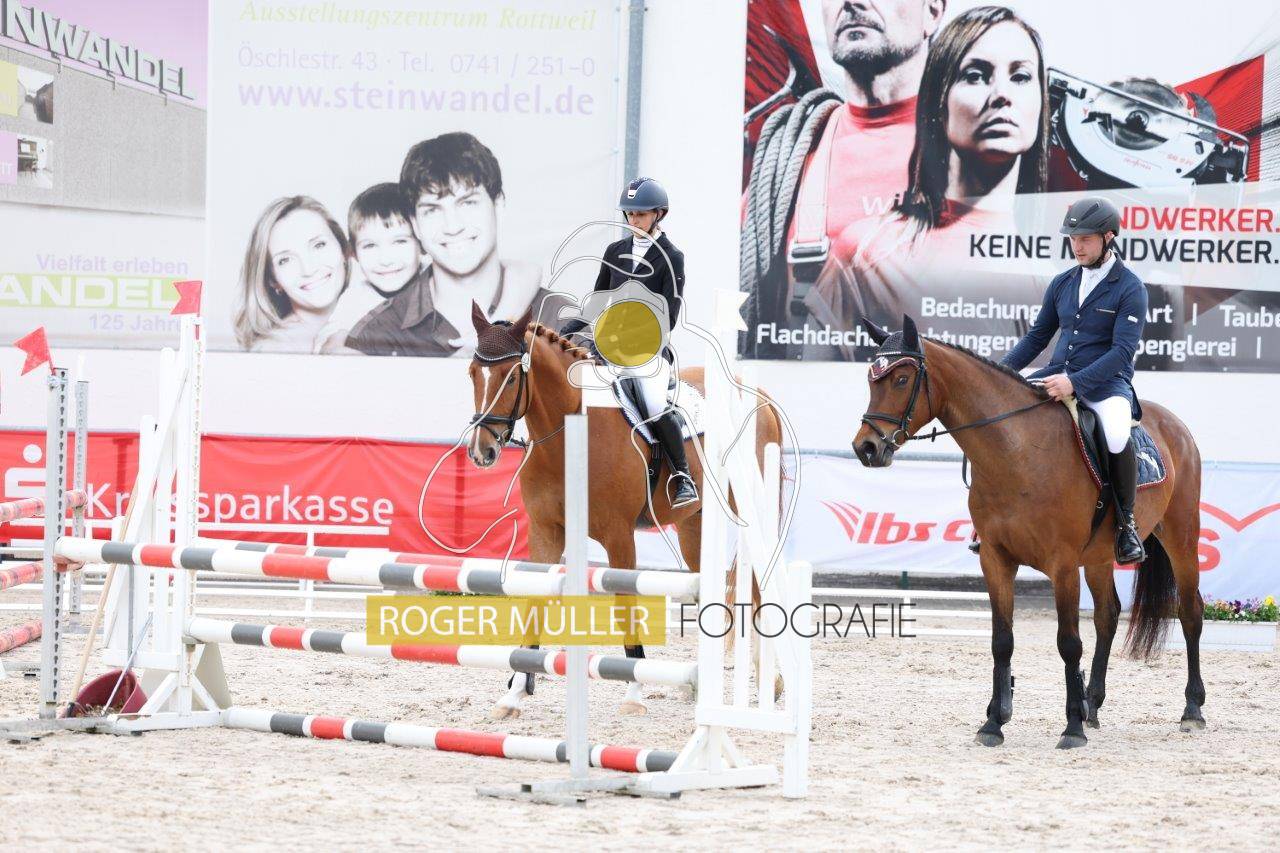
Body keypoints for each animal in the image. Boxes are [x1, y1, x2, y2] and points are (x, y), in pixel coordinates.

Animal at [466, 303, 784, 719]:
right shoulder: (546, 531)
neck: (570, 430)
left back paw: (771, 680)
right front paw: (514, 693)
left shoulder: (618, 536)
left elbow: (625, 604)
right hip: (694, 524)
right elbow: (536, 602)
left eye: (511, 377)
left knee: (761, 580)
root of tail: (757, 393)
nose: (481, 451)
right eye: (473, 373)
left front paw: (634, 692)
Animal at [853, 316, 1204, 749]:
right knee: (1107, 616)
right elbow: (1002, 641)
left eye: (901, 379)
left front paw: (1071, 728)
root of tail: (1174, 424)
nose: (866, 448)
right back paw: (1093, 705)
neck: (1017, 452)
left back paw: (1191, 710)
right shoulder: (996, 559)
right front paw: (994, 723)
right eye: (872, 379)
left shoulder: (1063, 565)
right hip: (1100, 556)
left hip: (1181, 536)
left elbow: (1068, 642)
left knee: (1190, 612)